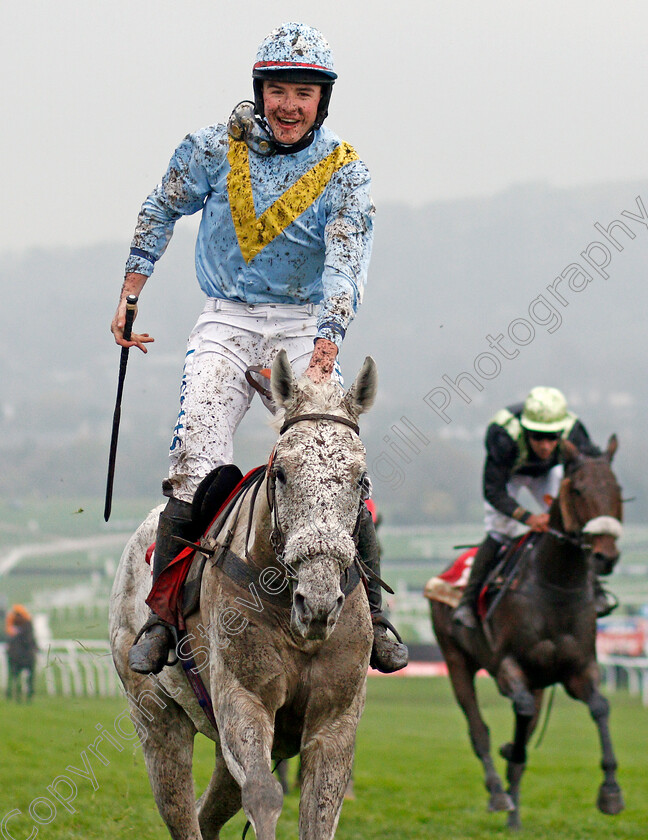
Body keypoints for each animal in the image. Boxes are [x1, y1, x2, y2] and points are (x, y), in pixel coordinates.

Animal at [109, 352, 378, 840]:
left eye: (360, 480)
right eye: (282, 473)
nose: (318, 603)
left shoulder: (336, 722)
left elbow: (319, 813)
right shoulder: (243, 700)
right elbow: (264, 795)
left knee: (206, 811)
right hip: (156, 719)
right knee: (183, 809)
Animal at [432, 436, 624, 832]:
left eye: (617, 490)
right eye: (579, 490)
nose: (606, 557)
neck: (555, 587)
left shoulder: (578, 668)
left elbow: (600, 706)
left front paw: (611, 791)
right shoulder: (508, 665)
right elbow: (516, 713)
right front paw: (510, 753)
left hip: (538, 680)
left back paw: (515, 817)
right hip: (455, 659)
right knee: (478, 730)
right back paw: (497, 792)